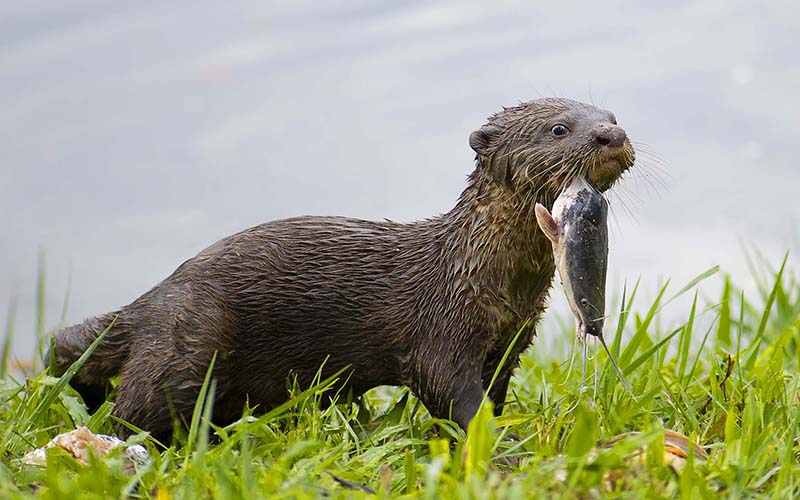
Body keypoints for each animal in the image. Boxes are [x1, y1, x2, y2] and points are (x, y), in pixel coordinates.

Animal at [49, 98, 635, 440]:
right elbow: (453, 395)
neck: (477, 272)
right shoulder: (440, 333)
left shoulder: (510, 340)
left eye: (610, 117)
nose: (611, 136)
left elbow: (491, 392)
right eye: (559, 128)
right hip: (187, 343)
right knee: (133, 411)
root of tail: (156, 295)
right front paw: (501, 444)